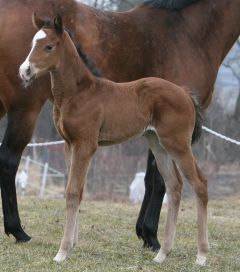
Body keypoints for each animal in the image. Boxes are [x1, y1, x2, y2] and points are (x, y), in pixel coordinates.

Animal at [0, 0, 240, 251]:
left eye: (48, 46)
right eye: (32, 44)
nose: (24, 71)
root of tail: (184, 94)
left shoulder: (91, 142)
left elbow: (143, 180)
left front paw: (145, 234)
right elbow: (152, 180)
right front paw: (149, 236)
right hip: (25, 109)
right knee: (8, 160)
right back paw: (18, 230)